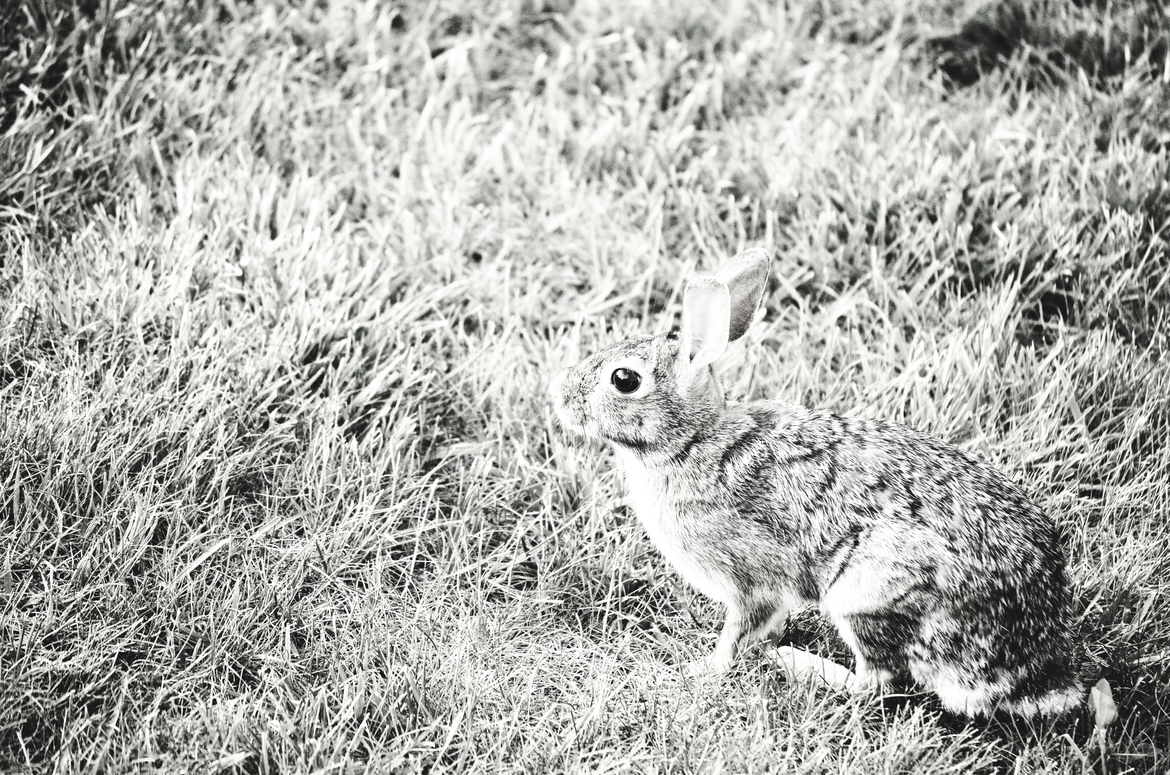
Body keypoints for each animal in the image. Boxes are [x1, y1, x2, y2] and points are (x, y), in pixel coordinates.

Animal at [549, 248, 1083, 717]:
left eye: (624, 380)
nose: (559, 394)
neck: (691, 441)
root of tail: (1029, 667)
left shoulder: (752, 580)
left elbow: (740, 634)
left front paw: (700, 670)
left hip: (867, 594)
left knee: (878, 684)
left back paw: (801, 665)